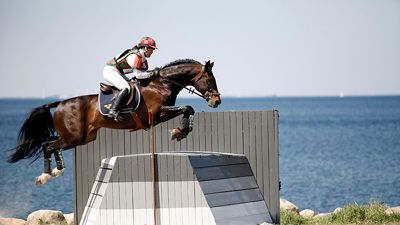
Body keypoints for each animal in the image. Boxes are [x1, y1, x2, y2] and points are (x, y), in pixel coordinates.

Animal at [8, 59, 222, 185]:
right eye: (210, 79)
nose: (217, 101)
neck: (161, 84)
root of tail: (59, 103)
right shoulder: (157, 114)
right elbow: (188, 108)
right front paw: (179, 132)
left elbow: (189, 109)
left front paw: (180, 132)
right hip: (73, 137)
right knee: (48, 145)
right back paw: (45, 175)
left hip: (82, 137)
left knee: (47, 141)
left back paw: (54, 171)